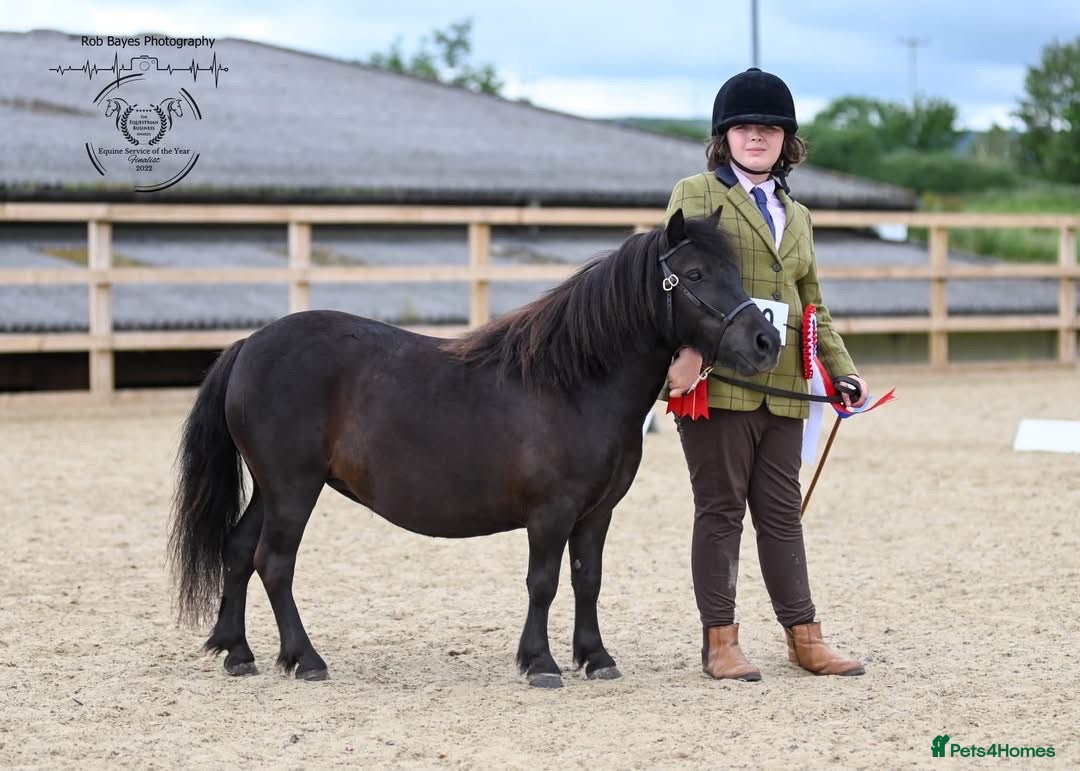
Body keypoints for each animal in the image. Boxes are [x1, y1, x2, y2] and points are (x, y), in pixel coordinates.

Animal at [168, 208, 781, 688]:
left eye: (736, 271)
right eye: (695, 273)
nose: (766, 341)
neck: (576, 382)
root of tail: (249, 344)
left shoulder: (596, 513)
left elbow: (588, 580)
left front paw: (596, 657)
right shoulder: (551, 512)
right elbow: (543, 583)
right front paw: (540, 663)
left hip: (272, 489)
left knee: (238, 550)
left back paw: (237, 652)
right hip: (294, 488)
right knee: (274, 562)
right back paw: (306, 659)